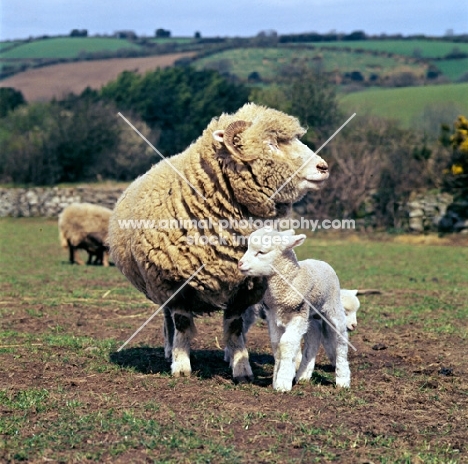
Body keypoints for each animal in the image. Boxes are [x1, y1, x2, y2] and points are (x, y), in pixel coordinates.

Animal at [109, 101, 330, 380]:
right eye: (271, 144)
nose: (323, 167)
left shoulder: (247, 286)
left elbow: (234, 326)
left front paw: (241, 367)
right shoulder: (173, 282)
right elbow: (182, 323)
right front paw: (181, 365)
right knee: (167, 318)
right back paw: (170, 351)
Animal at [238, 228, 352, 392]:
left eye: (261, 252)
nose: (240, 264)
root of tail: (320, 261)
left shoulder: (298, 315)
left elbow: (286, 343)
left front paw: (283, 382)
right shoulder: (273, 316)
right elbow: (276, 345)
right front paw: (277, 379)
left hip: (333, 305)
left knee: (341, 338)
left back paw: (343, 379)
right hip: (311, 315)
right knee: (314, 337)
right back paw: (303, 375)